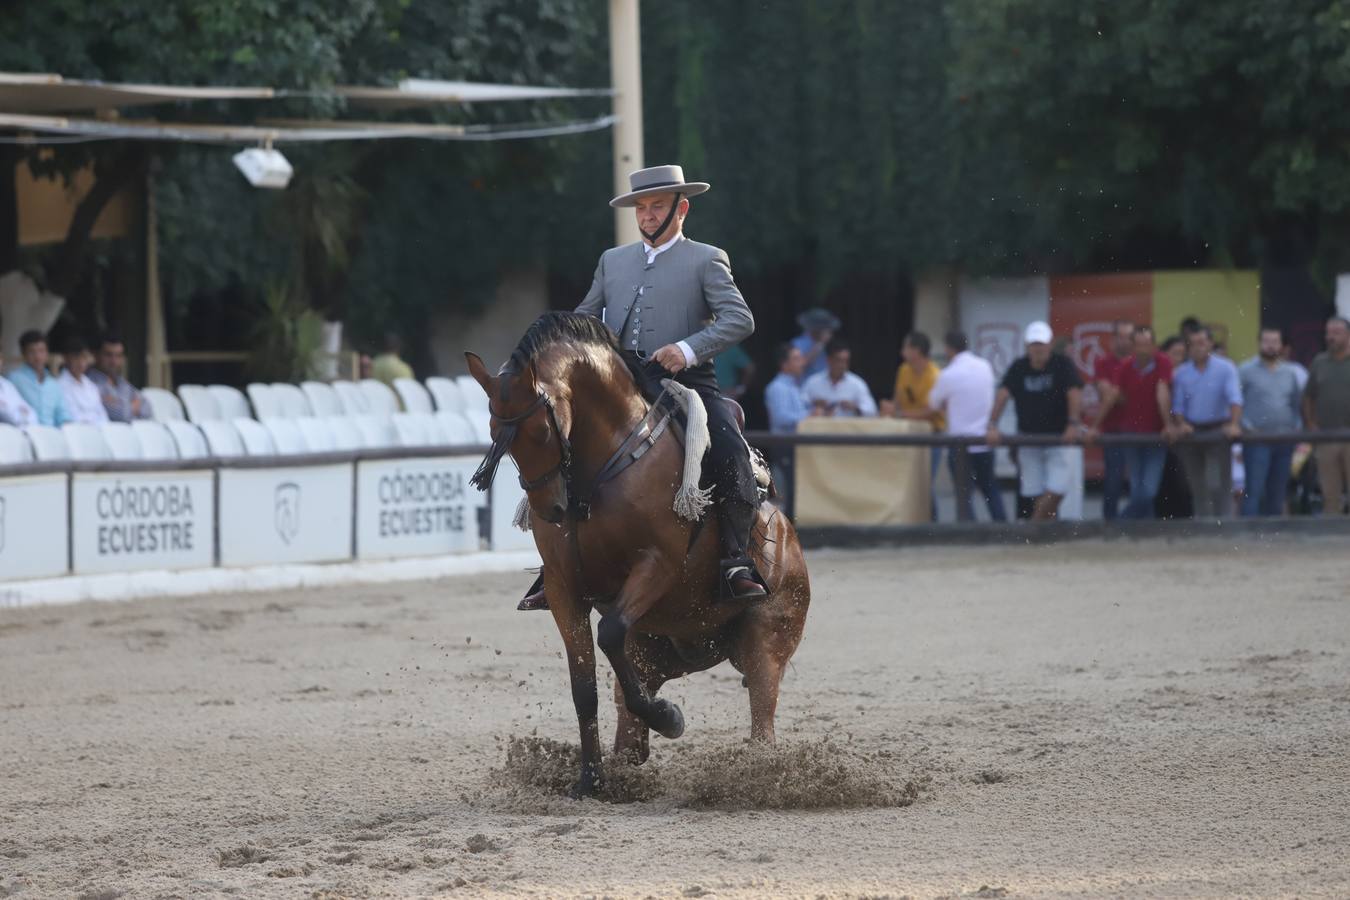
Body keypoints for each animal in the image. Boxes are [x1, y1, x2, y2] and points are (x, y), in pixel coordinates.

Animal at [464, 313, 810, 798]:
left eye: (543, 431)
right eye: (498, 435)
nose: (551, 510)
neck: (599, 469)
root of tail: (786, 536)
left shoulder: (656, 565)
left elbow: (609, 632)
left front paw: (668, 717)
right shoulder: (563, 588)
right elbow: (584, 686)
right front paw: (589, 779)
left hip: (766, 639)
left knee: (762, 718)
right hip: (653, 649)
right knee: (631, 723)